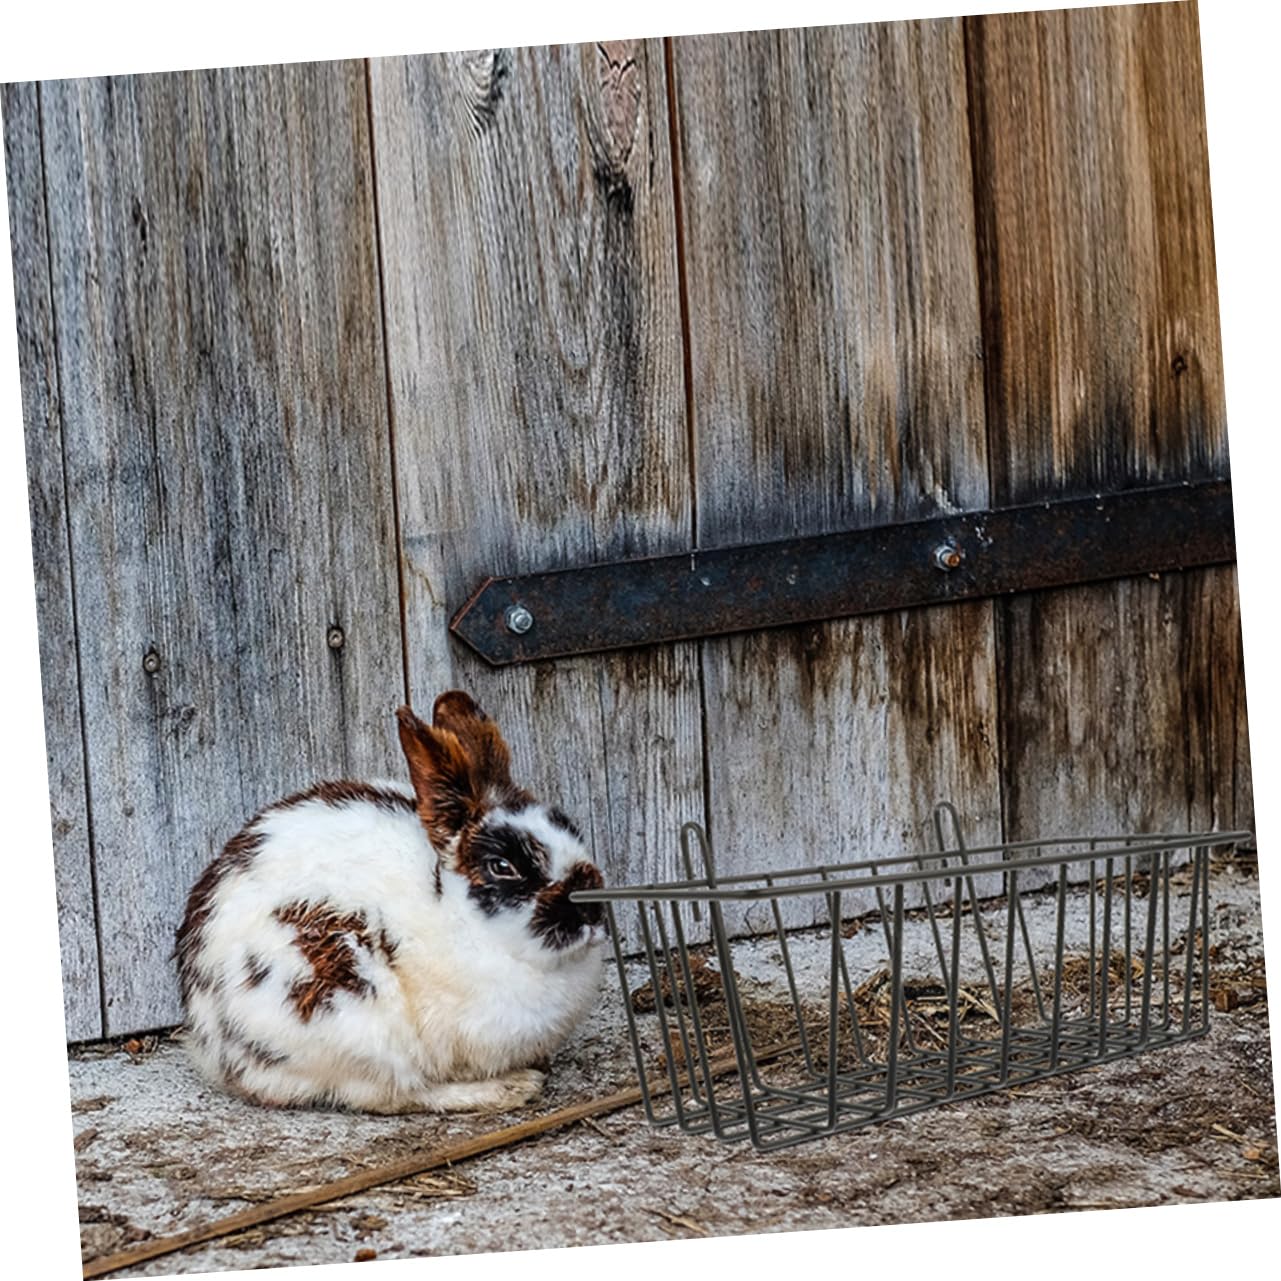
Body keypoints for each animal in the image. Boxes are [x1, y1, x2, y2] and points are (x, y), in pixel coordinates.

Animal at [174, 691, 607, 1113]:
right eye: (502, 867)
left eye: (571, 828)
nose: (590, 908)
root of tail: (213, 1044)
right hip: (353, 1015)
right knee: (398, 1094)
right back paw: (510, 1088)